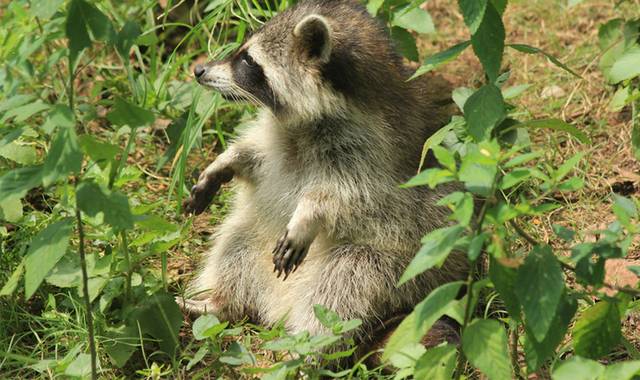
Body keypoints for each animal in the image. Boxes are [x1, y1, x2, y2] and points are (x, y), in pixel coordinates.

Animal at [182, 0, 468, 348]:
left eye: (248, 61)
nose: (199, 70)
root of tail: (275, 308)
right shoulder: (276, 140)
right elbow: (254, 155)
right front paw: (225, 161)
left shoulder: (376, 157)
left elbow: (352, 197)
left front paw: (310, 212)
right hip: (255, 242)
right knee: (234, 242)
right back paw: (220, 301)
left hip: (400, 271)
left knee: (342, 285)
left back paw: (305, 349)